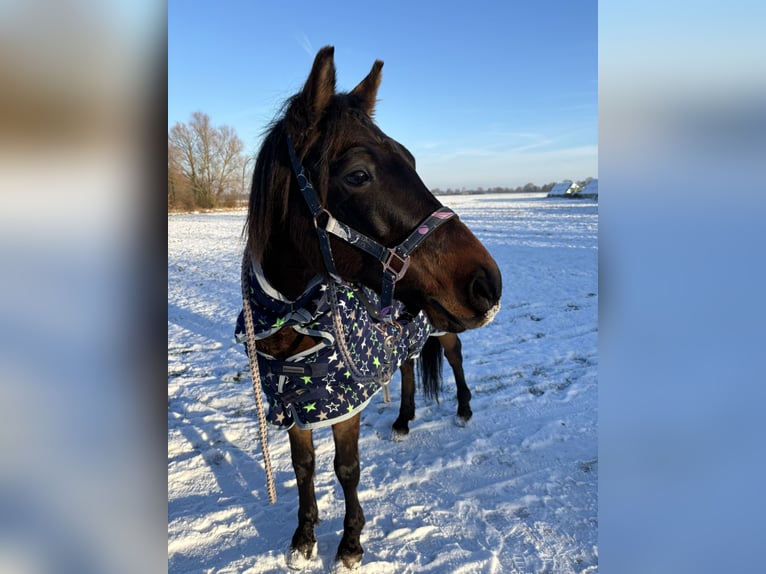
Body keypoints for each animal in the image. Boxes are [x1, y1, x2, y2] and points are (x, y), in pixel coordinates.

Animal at [240, 48, 504, 572]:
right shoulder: (294, 406)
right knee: (407, 370)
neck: (292, 325)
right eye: (358, 175)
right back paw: (403, 419)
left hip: (442, 329)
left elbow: (346, 468)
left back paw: (463, 409)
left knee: (455, 357)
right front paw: (303, 539)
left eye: (412, 160)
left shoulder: (345, 405)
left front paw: (350, 544)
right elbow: (304, 467)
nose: (487, 283)